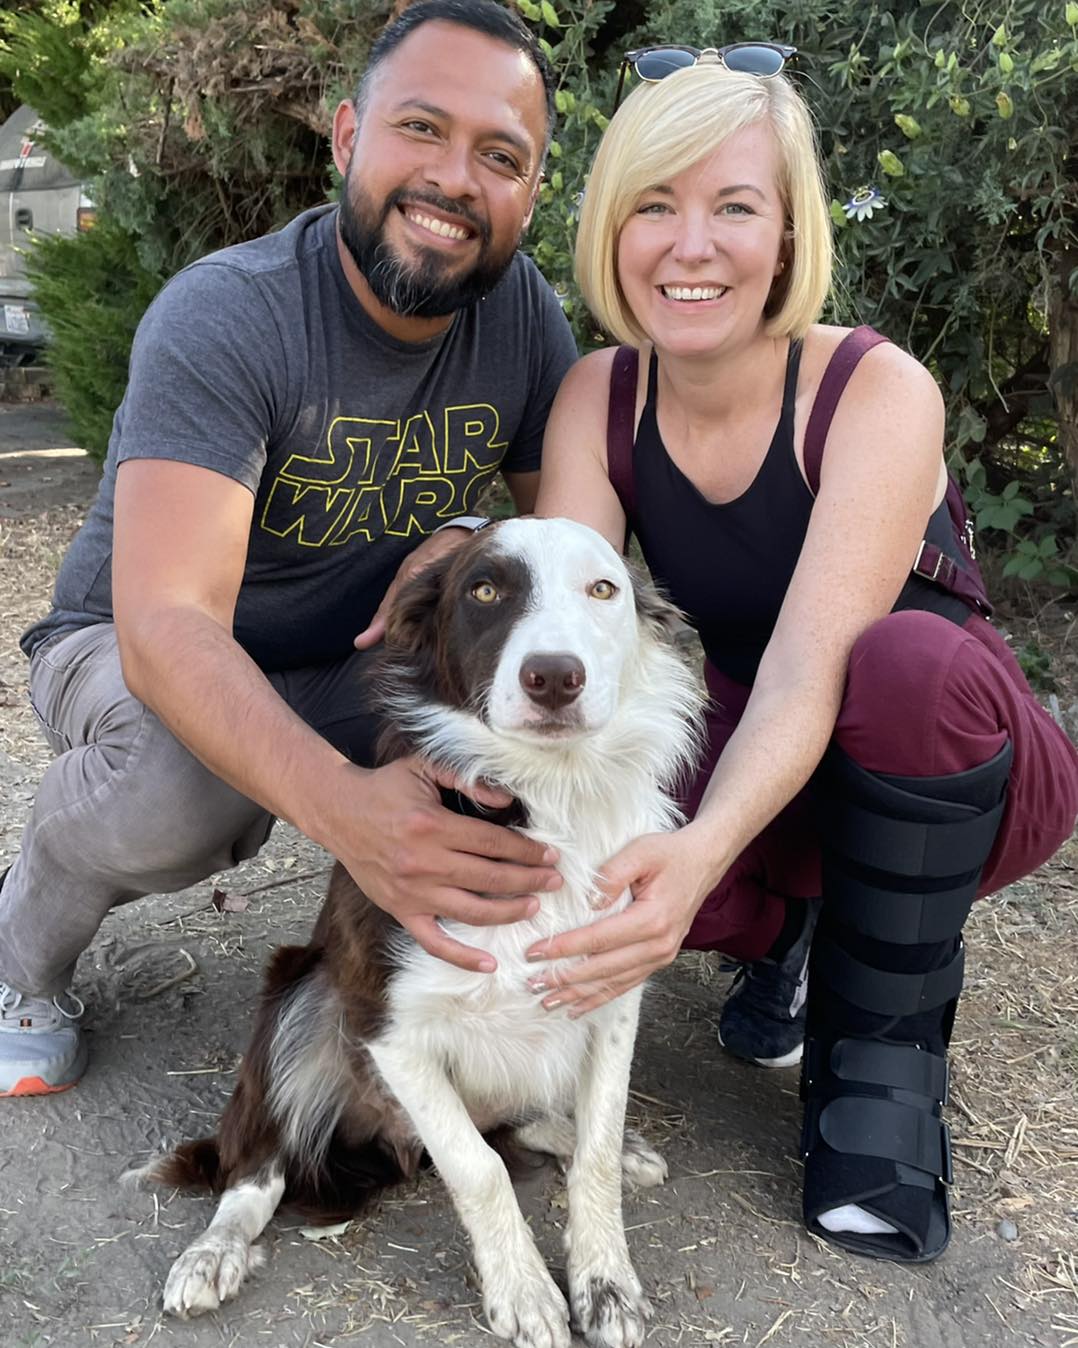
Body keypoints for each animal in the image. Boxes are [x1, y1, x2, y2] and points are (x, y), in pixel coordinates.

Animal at [132, 517, 706, 1348]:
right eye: (485, 590)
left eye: (604, 589)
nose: (554, 677)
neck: (549, 798)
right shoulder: (388, 1026)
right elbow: (477, 1169)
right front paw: (524, 1292)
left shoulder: (611, 993)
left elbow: (594, 1149)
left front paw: (606, 1286)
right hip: (300, 996)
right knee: (256, 1169)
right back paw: (214, 1253)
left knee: (524, 1125)